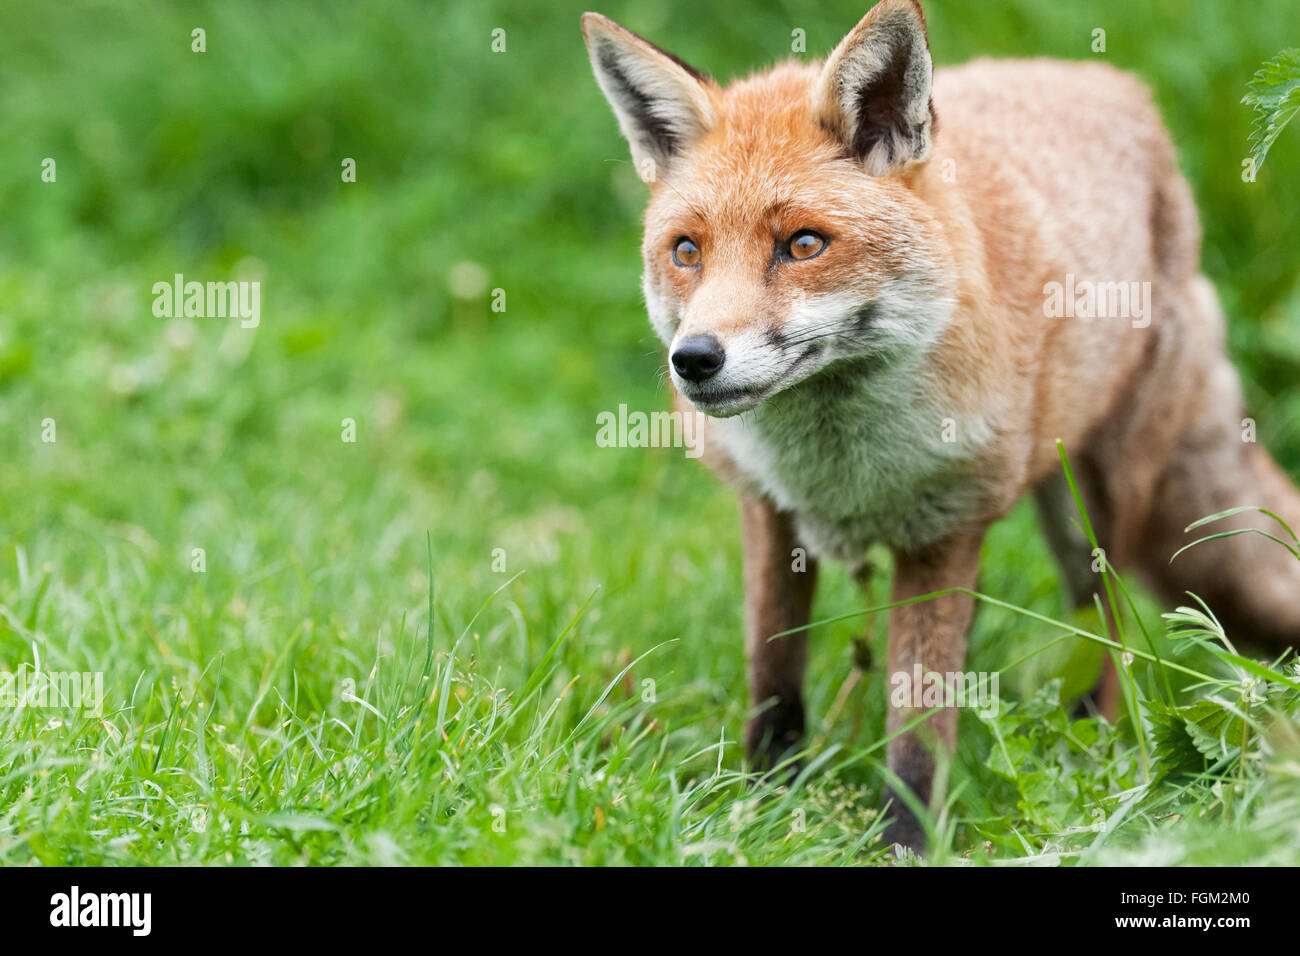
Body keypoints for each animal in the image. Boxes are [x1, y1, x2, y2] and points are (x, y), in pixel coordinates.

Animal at [585, 0, 1300, 853]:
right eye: (687, 250)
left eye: (803, 244)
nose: (694, 359)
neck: (835, 466)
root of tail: (1112, 84)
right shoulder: (769, 511)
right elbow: (774, 677)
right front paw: (763, 805)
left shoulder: (946, 531)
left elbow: (920, 728)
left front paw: (905, 845)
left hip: (1092, 508)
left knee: (1107, 640)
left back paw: (1088, 763)